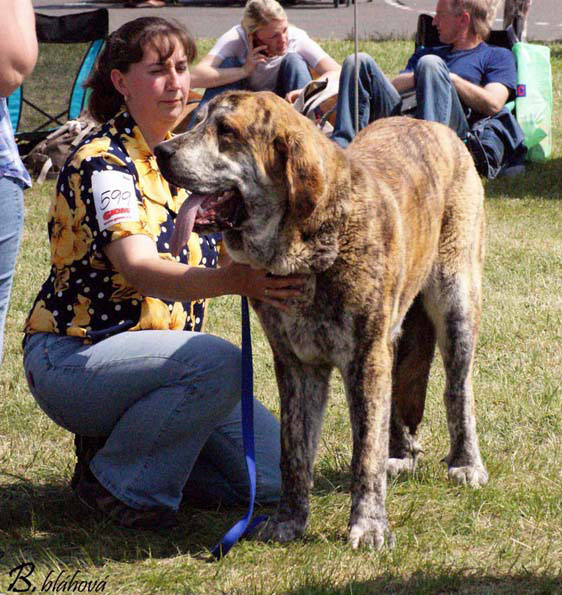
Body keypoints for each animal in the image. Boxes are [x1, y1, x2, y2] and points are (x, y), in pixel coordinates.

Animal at [153, 89, 486, 548]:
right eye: (196, 120)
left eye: (227, 131)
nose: (161, 151)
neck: (307, 242)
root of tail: (434, 125)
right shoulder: (296, 364)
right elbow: (294, 450)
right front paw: (288, 522)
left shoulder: (365, 358)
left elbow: (364, 451)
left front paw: (369, 526)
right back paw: (399, 454)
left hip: (456, 301)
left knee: (458, 390)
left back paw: (466, 463)